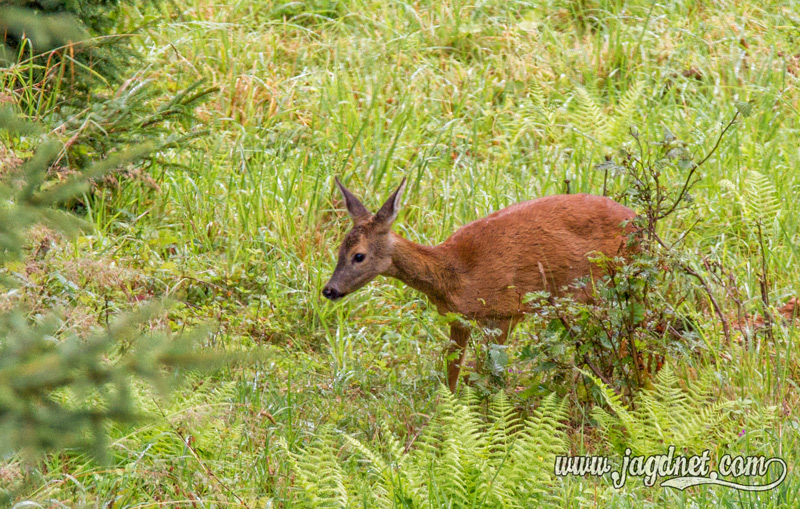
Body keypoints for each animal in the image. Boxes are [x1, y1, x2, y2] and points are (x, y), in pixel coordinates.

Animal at [320, 177, 636, 390]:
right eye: (339, 249)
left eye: (358, 255)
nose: (329, 290)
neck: (454, 276)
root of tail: (636, 218)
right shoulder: (459, 319)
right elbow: (452, 371)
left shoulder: (505, 312)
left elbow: (491, 372)